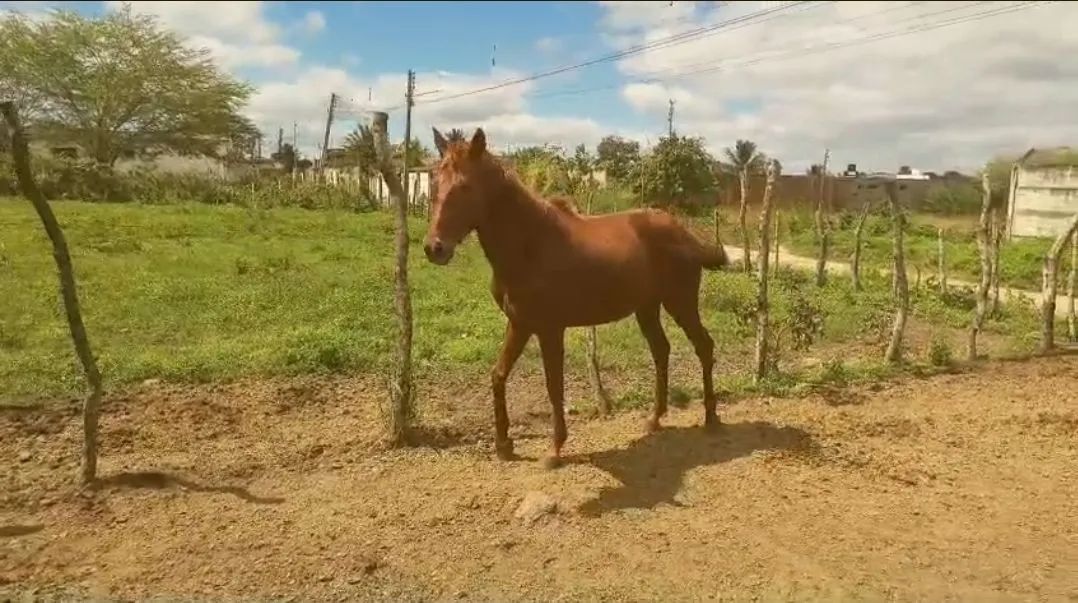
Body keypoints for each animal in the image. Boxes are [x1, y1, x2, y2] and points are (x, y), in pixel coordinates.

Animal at [423, 127, 730, 469]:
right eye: (435, 182)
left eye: (465, 186)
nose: (434, 248)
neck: (531, 244)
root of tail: (684, 232)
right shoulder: (519, 323)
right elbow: (498, 375)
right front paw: (504, 446)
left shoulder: (549, 329)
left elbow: (553, 384)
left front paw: (554, 450)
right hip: (647, 308)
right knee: (661, 351)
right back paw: (654, 419)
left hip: (681, 303)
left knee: (703, 346)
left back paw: (711, 418)